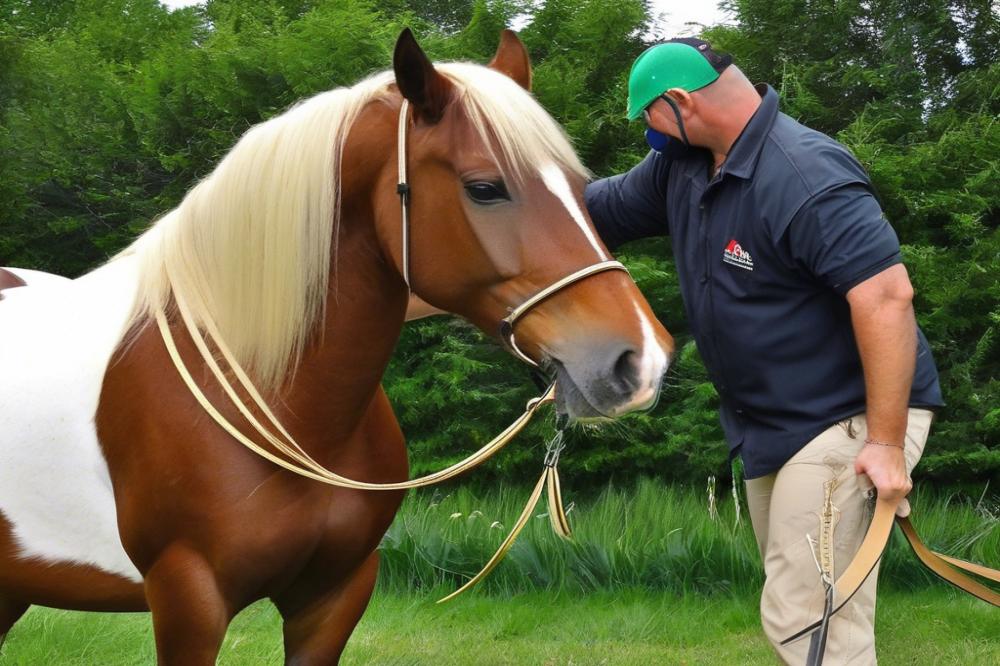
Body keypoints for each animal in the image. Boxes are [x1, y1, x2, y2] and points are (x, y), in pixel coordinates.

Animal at [0, 28, 676, 660]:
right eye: (485, 187)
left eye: (581, 187)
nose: (639, 359)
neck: (269, 394)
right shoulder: (188, 598)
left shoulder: (334, 596)